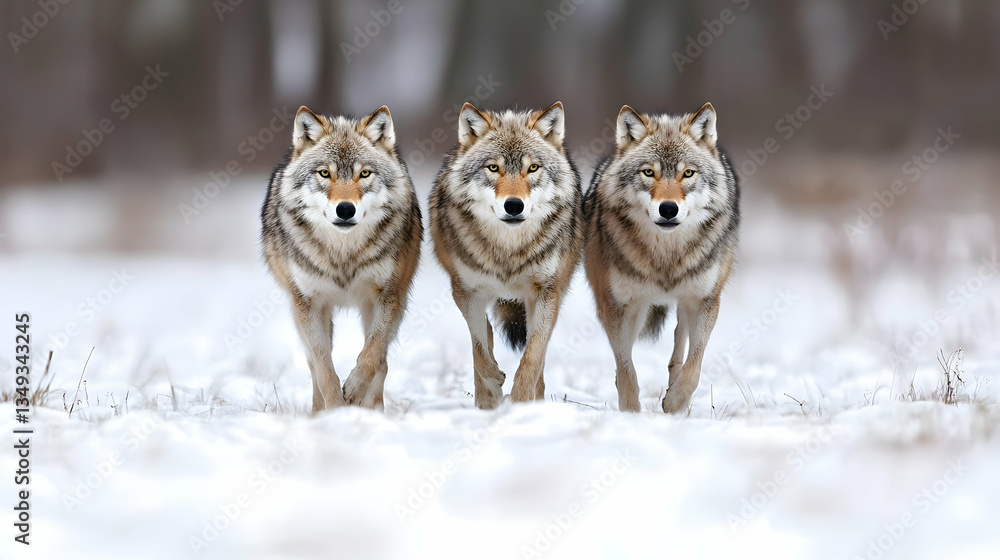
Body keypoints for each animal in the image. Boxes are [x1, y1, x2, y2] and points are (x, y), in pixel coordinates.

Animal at [261, 105, 422, 411]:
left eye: (364, 173)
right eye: (325, 173)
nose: (345, 209)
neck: (344, 255)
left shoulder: (389, 295)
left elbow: (372, 354)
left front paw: (355, 393)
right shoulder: (308, 303)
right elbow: (323, 368)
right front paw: (335, 410)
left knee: (382, 361)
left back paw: (373, 409)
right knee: (313, 366)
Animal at [429, 102, 584, 409]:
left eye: (532, 168)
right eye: (493, 168)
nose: (514, 205)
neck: (508, 251)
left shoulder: (545, 293)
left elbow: (532, 356)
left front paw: (521, 402)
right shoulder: (467, 291)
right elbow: (479, 349)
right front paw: (491, 388)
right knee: (485, 334)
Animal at [584, 103, 740, 413]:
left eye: (688, 173)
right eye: (648, 172)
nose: (668, 209)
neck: (666, 257)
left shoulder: (705, 301)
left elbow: (695, 364)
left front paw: (676, 402)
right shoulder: (618, 305)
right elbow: (626, 368)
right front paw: (630, 412)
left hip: (686, 301)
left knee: (680, 339)